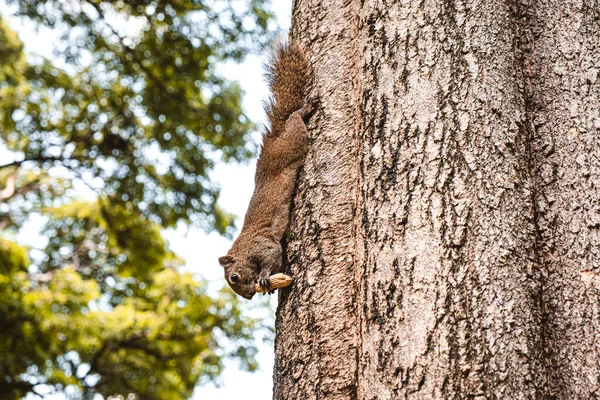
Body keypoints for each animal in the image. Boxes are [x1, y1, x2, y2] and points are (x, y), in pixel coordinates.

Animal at [219, 43, 314, 300]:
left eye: (234, 277)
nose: (249, 296)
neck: (243, 248)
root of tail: (274, 139)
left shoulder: (263, 244)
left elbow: (272, 255)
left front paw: (264, 276)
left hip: (292, 143)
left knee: (294, 120)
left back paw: (304, 109)